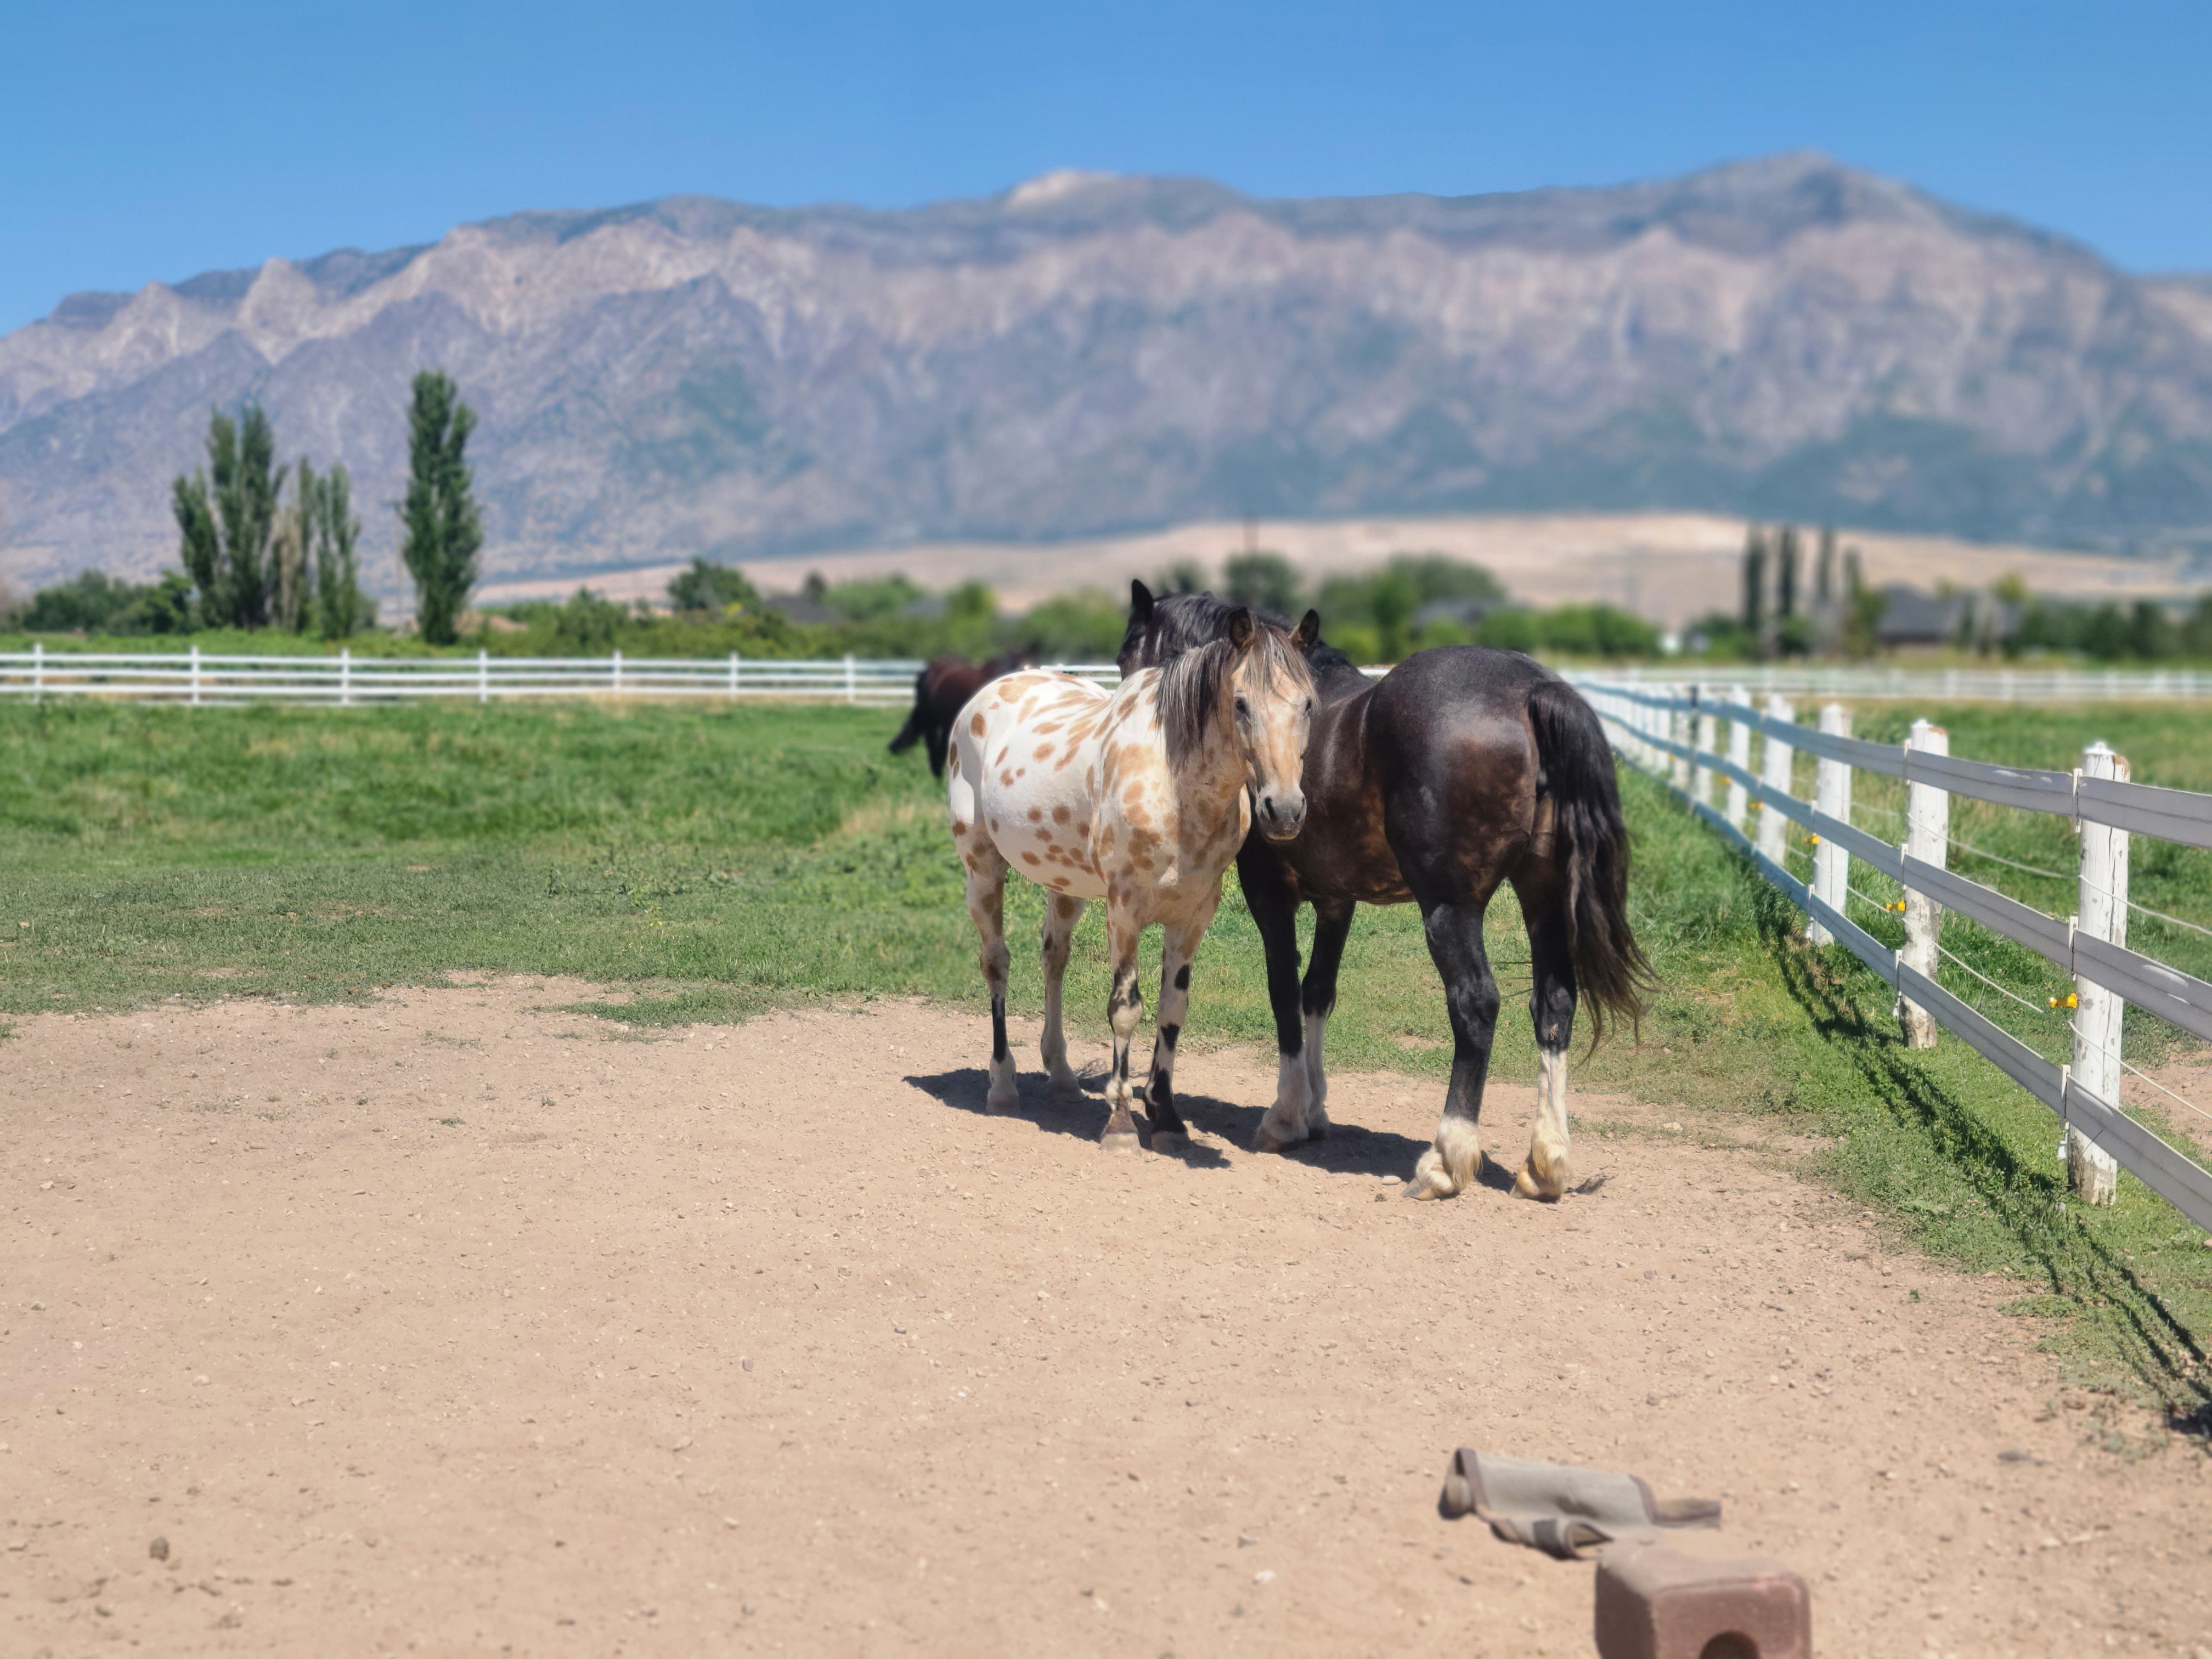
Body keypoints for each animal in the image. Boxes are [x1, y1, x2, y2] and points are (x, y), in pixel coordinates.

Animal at [947, 608, 1319, 1151]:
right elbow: (1125, 1009)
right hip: (982, 869)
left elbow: (1172, 1009)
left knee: (1053, 957)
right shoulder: (1123, 911)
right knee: (996, 963)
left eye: (1308, 704)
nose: (1285, 810)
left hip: (1065, 886)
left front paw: (1165, 1116)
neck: (1175, 786)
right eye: (1241, 703)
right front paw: (1121, 1123)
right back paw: (1002, 1084)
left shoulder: (1192, 918)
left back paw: (1062, 1075)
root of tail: (984, 697)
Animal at [1117, 582, 1649, 1200]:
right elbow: (1317, 992)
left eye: (1126, 657)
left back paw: (1446, 1159)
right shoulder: (1337, 901)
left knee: (1476, 1004)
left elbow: (1283, 993)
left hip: (1450, 909)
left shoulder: (1268, 895)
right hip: (1543, 898)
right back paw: (1545, 1163)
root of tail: (1531, 690)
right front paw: (1315, 1110)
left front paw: (1286, 1116)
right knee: (1555, 1004)